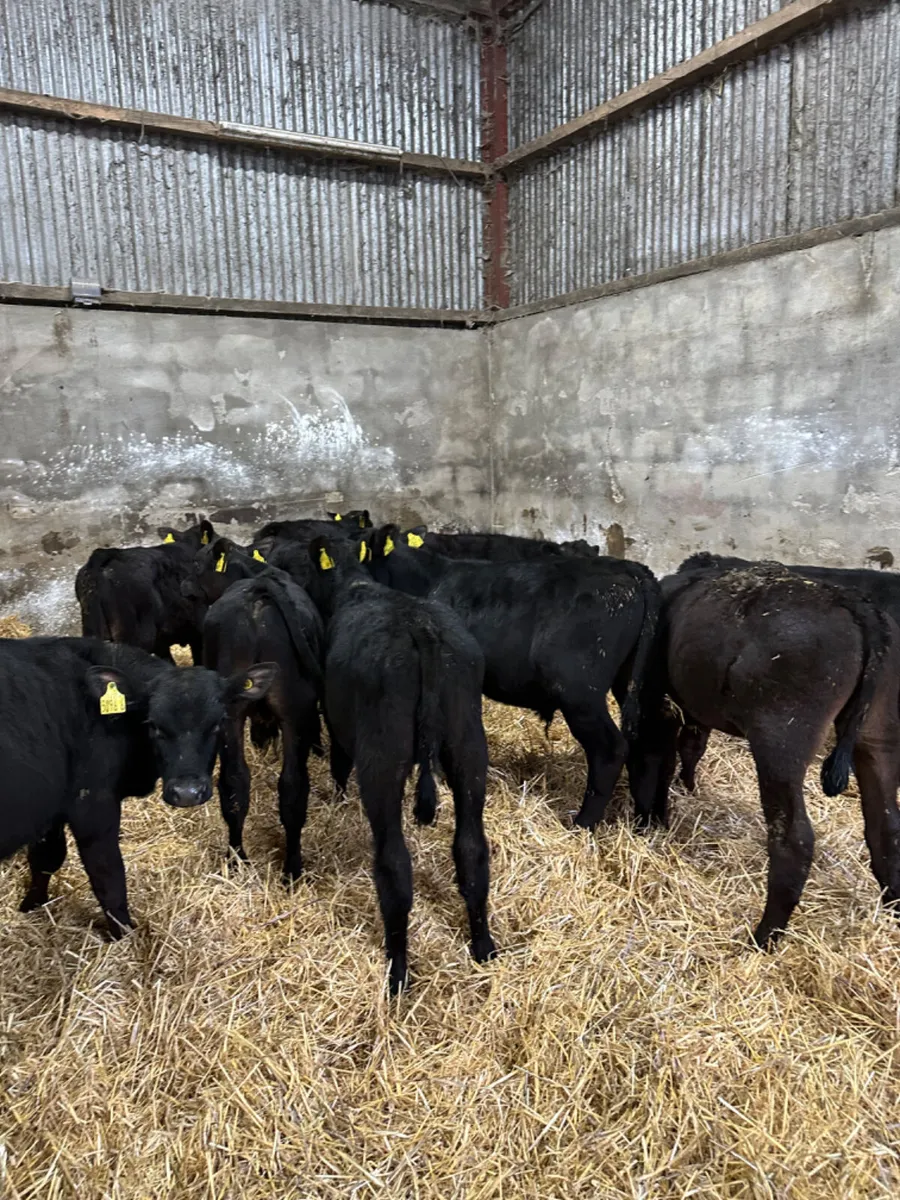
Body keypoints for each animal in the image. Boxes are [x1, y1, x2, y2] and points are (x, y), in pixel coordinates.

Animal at [1, 636, 274, 937]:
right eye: (153, 725)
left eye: (217, 723)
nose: (187, 793)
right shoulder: (93, 806)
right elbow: (108, 877)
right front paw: (125, 936)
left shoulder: (52, 811)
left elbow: (45, 858)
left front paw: (31, 906)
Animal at [187, 543, 325, 880]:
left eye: (196, 564)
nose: (184, 587)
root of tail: (259, 593)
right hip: (293, 712)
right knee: (290, 786)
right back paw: (290, 869)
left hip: (234, 712)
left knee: (236, 782)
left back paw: (238, 860)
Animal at [300, 533, 495, 995]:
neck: (353, 583)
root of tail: (421, 630)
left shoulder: (335, 720)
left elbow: (338, 762)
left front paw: (337, 797)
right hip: (468, 745)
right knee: (472, 848)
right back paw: (482, 945)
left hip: (382, 760)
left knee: (393, 865)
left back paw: (399, 972)